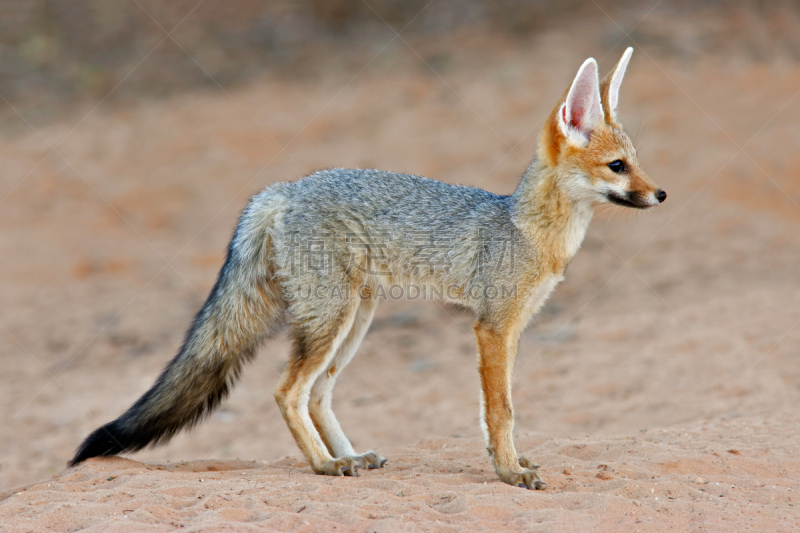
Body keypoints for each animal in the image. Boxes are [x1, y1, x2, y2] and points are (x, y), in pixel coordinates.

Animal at [72, 47, 664, 488]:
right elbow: (502, 411)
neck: (526, 229)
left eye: (638, 162)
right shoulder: (493, 328)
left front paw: (511, 462)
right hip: (331, 320)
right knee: (287, 392)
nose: (661, 194)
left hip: (355, 320)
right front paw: (508, 472)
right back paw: (324, 464)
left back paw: (350, 456)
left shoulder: (510, 328)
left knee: (318, 394)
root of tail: (283, 188)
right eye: (617, 166)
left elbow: (502, 410)